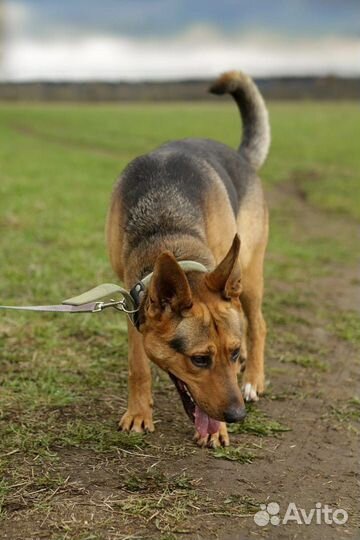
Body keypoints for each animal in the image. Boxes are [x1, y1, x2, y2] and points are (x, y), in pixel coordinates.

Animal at [107, 70, 270, 448]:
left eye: (232, 353)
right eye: (199, 359)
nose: (237, 417)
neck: (169, 225)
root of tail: (240, 157)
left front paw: (218, 429)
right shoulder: (133, 303)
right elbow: (138, 365)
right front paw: (139, 413)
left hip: (249, 276)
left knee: (258, 324)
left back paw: (253, 380)